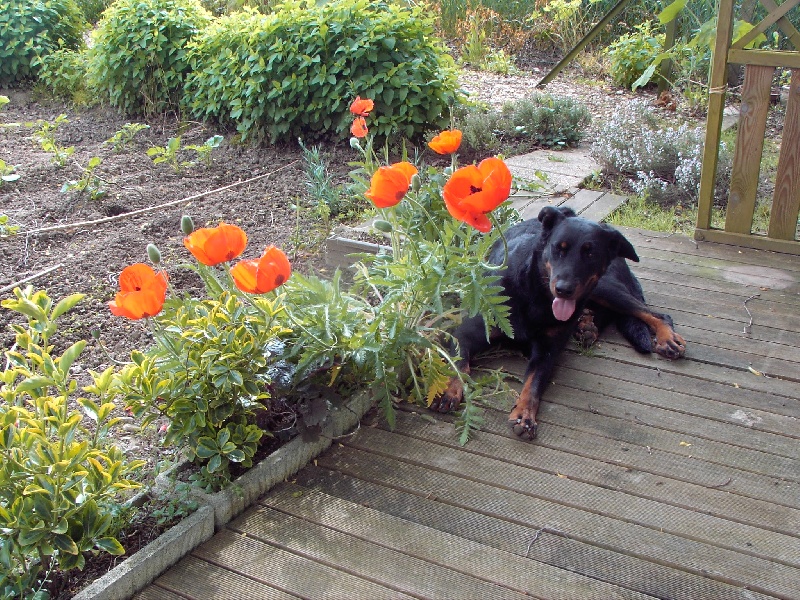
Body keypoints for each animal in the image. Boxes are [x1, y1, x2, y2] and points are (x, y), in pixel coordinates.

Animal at [434, 209, 684, 438]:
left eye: (590, 253)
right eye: (559, 248)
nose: (564, 288)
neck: (536, 296)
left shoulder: (547, 351)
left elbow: (533, 384)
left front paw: (524, 415)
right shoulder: (465, 334)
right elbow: (458, 363)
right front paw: (448, 390)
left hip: (604, 286)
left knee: (655, 314)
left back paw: (666, 338)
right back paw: (587, 327)